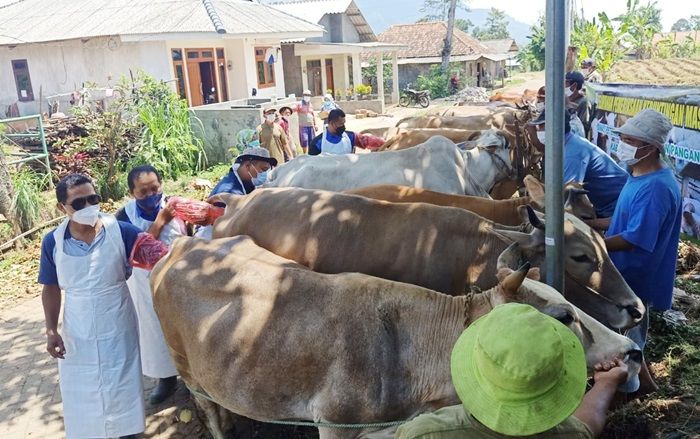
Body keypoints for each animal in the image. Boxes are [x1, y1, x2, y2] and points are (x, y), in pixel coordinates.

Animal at [152, 237, 640, 439]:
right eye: (563, 316)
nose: (631, 349)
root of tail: (181, 246)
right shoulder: (335, 426)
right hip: (186, 368)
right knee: (207, 408)